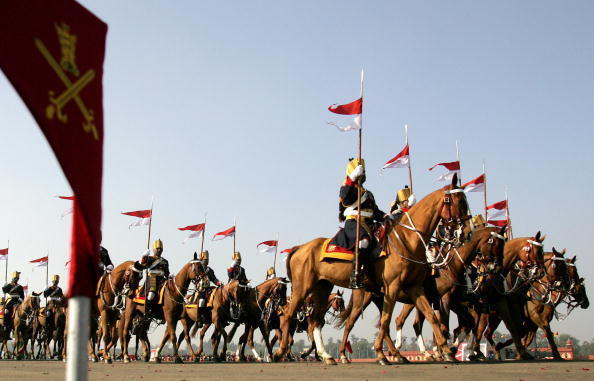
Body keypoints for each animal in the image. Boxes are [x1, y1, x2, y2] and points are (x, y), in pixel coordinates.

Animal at [276, 174, 468, 364]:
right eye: (460, 202)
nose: (464, 233)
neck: (407, 240)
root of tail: (299, 248)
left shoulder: (414, 287)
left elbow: (431, 315)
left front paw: (447, 351)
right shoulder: (392, 286)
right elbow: (386, 319)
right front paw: (381, 353)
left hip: (322, 287)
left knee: (316, 321)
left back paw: (327, 356)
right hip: (303, 287)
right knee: (289, 316)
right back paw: (281, 352)